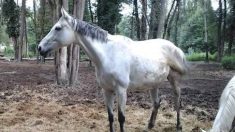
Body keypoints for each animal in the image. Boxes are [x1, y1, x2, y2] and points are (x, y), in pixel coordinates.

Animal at [38, 8, 189, 132]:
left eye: (58, 28)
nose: (40, 48)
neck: (108, 55)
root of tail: (175, 48)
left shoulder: (121, 90)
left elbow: (121, 117)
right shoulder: (107, 90)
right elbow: (110, 117)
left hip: (174, 79)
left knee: (178, 101)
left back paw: (179, 126)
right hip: (153, 83)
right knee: (156, 103)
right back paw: (150, 125)